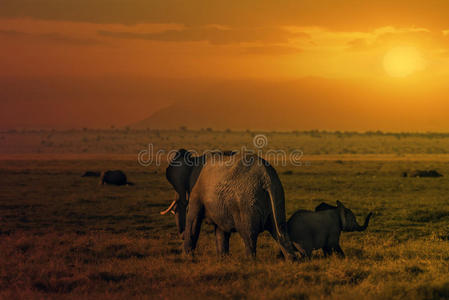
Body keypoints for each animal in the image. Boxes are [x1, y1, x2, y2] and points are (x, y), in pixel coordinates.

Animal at [159, 149, 296, 260]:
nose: (181, 235)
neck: (193, 159)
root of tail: (266, 178)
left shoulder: (196, 191)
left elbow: (193, 221)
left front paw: (186, 257)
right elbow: (221, 230)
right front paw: (222, 259)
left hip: (246, 203)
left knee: (248, 234)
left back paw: (249, 261)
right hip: (278, 196)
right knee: (280, 230)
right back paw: (291, 260)